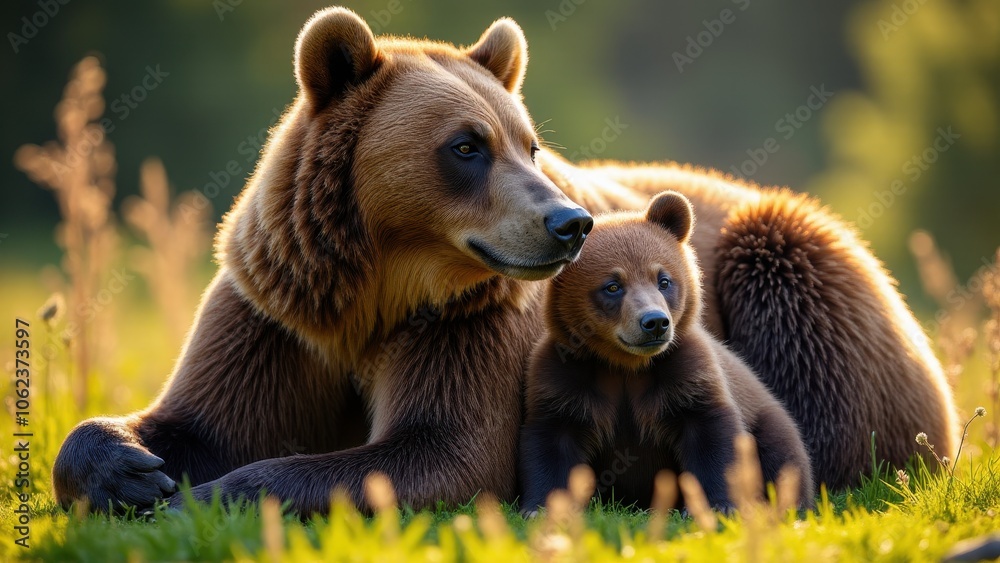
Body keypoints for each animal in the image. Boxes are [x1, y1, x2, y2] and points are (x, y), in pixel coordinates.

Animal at [519, 191, 813, 512]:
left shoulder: (686, 371)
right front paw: (540, 506)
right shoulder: (566, 375)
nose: (655, 322)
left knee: (782, 455)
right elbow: (551, 440)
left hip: (768, 417)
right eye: (612, 285)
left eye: (663, 280)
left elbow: (712, 435)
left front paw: (718, 504)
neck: (625, 365)